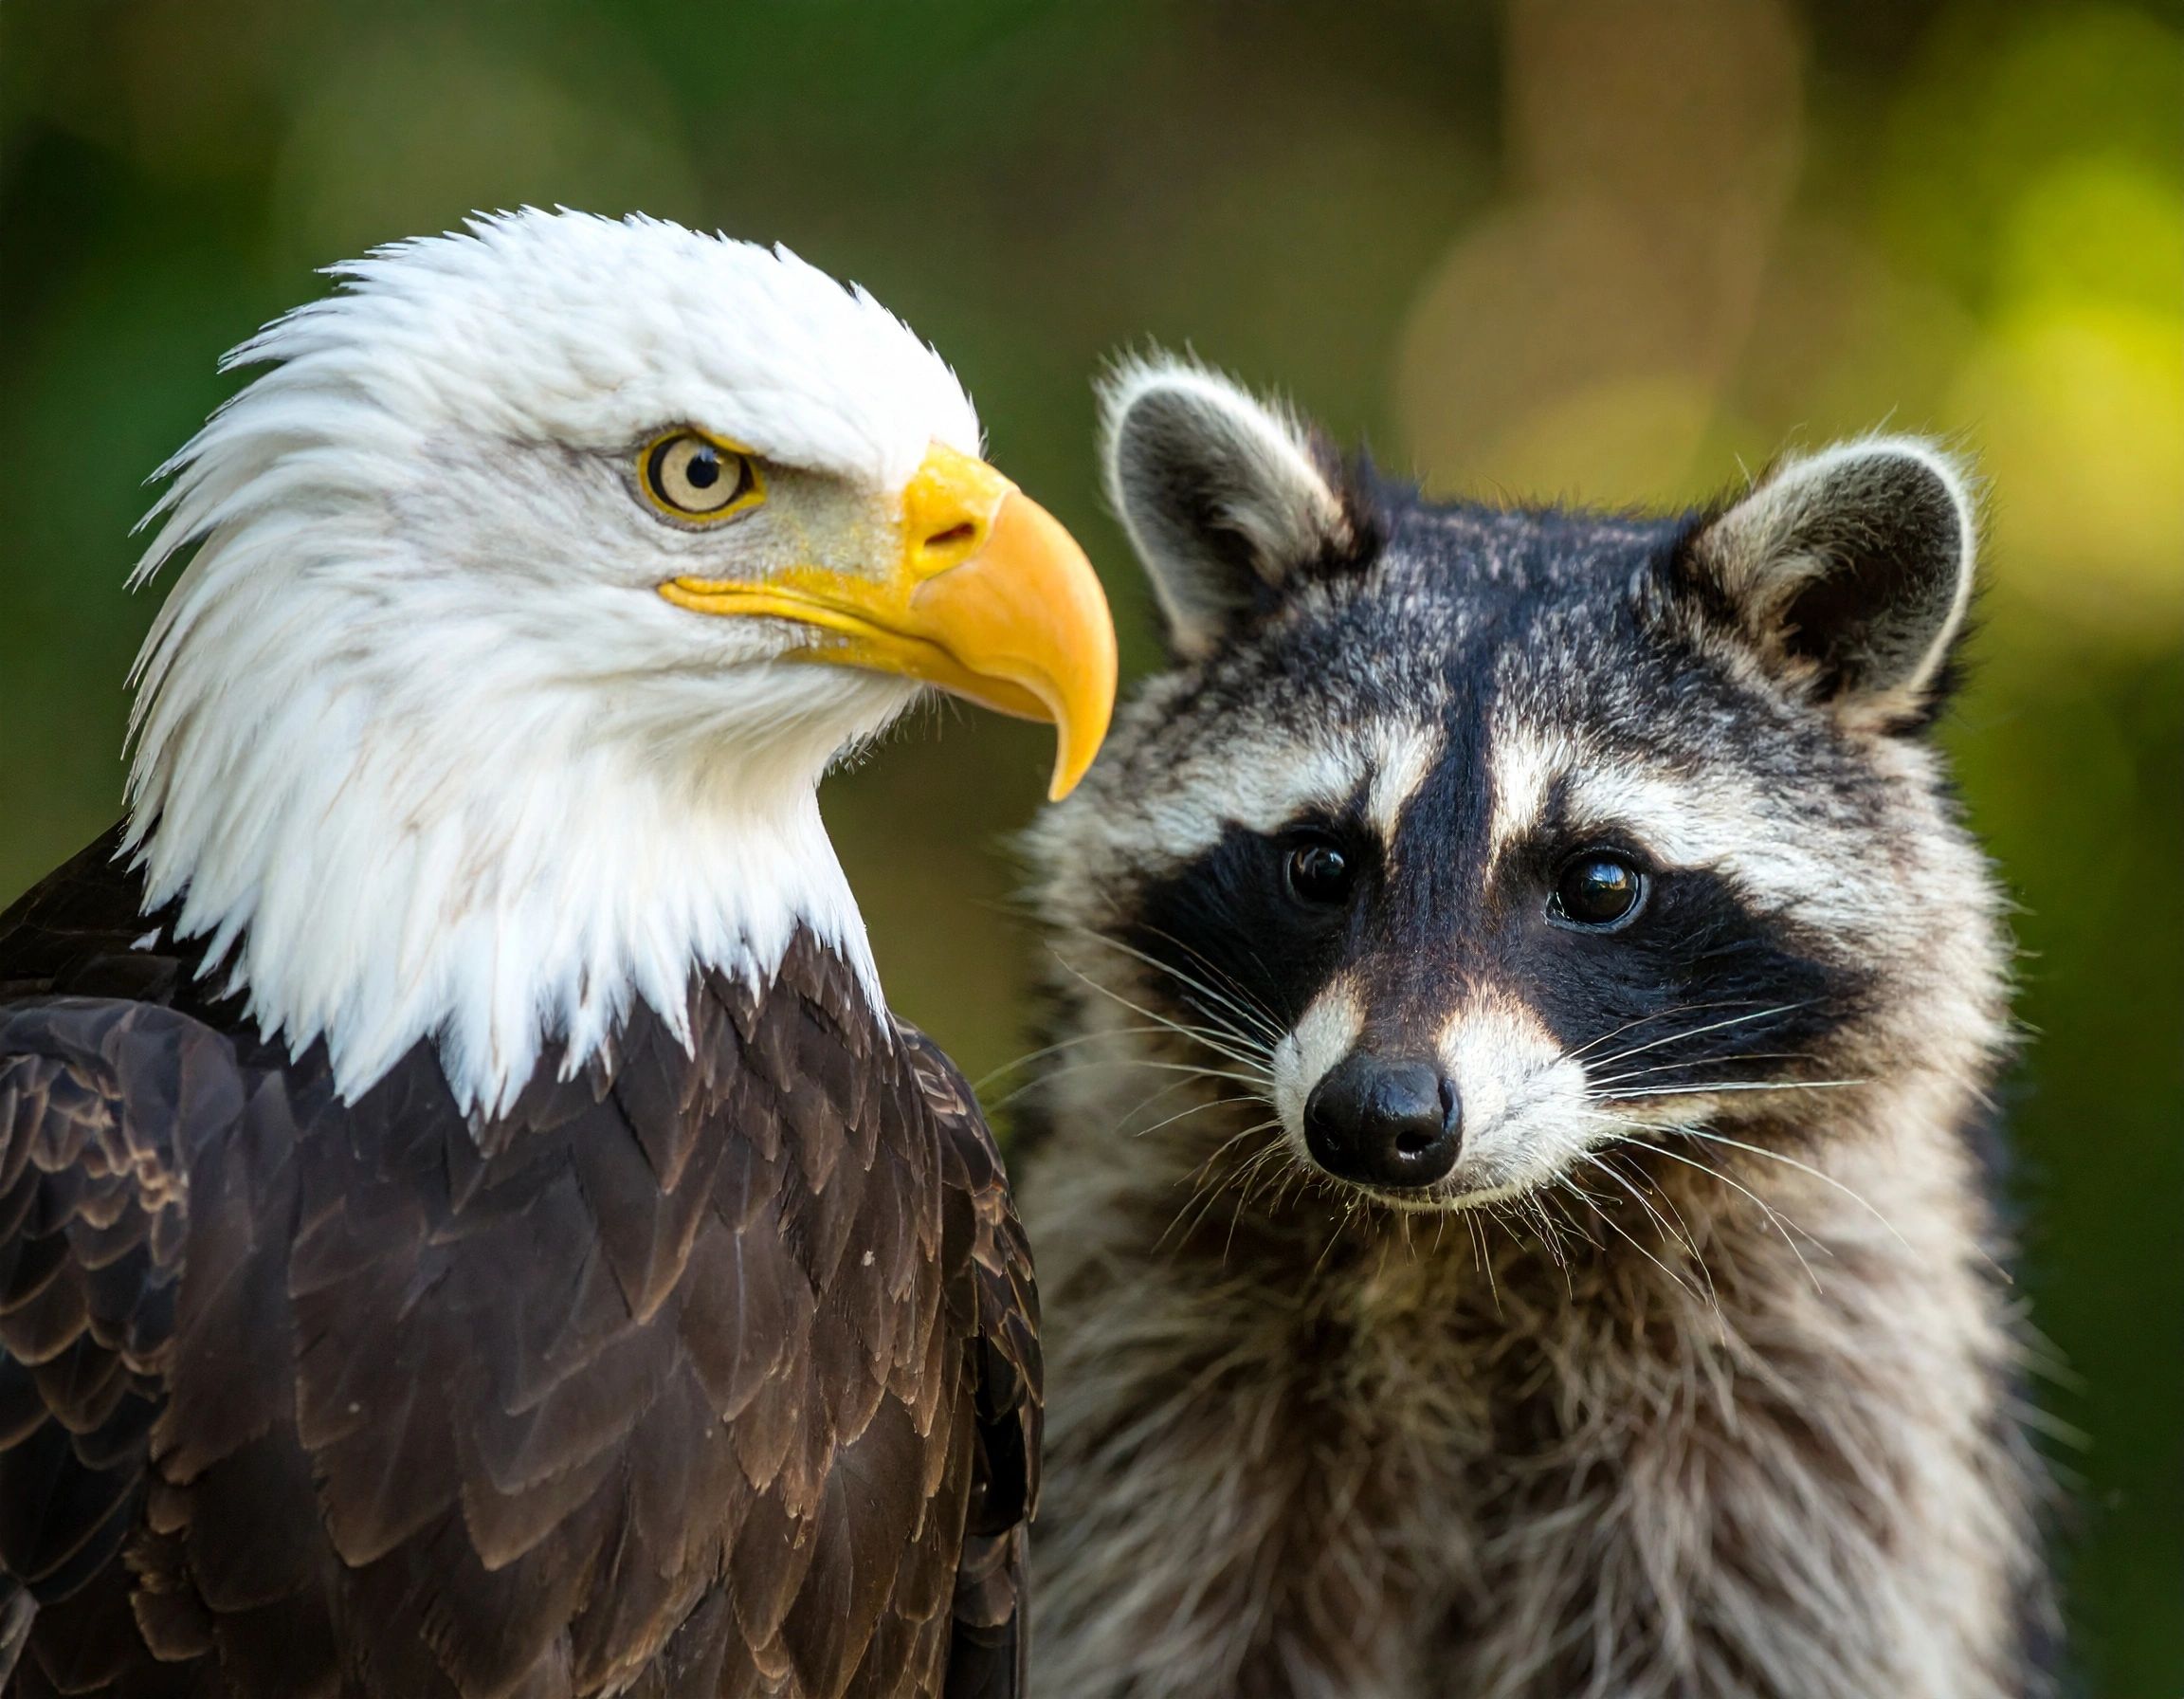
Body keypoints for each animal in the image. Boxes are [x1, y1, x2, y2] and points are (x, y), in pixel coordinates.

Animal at [1015, 360, 2053, 1699]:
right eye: (1319, 863)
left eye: (1601, 882)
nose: (1377, 1115)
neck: (1456, 1248)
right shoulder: (1149, 1353)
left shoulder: (1813, 1397)